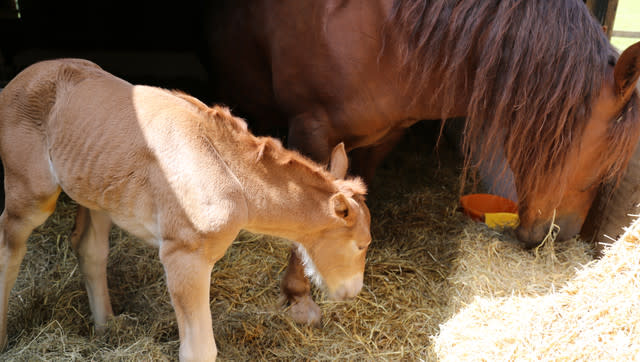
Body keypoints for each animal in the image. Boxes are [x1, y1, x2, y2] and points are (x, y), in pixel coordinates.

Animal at [0, 58, 370, 360]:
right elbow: (200, 350)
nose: (352, 292)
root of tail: (15, 81)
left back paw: (107, 327)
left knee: (89, 247)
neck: (234, 177)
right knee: (10, 246)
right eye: (361, 245)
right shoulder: (184, 255)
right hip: (31, 192)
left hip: (98, 187)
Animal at [205, 0, 640, 326]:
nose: (561, 235)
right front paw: (298, 298)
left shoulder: (386, 135)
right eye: (604, 157)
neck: (390, 36)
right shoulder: (310, 130)